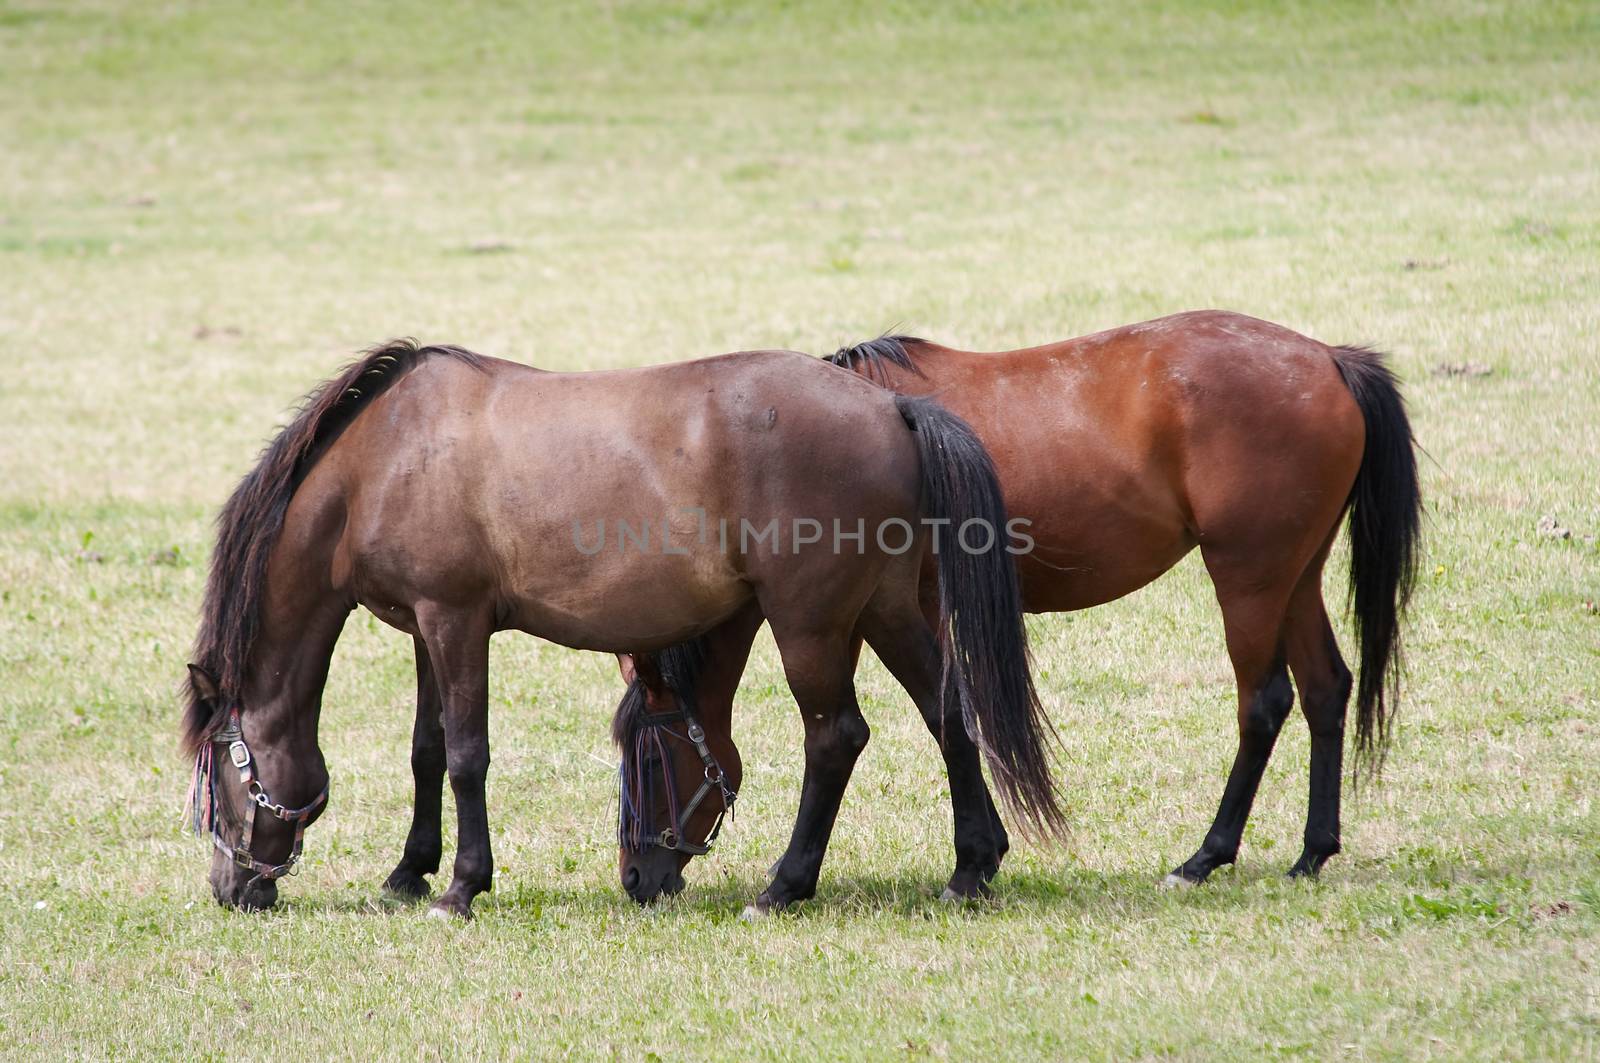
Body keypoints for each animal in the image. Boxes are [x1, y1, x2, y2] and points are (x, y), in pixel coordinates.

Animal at [181, 337, 1056, 915]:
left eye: (219, 776)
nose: (232, 889)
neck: (383, 458)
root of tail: (892, 407)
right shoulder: (426, 627)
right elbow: (427, 750)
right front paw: (409, 872)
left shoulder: (456, 620)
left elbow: (466, 755)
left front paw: (461, 884)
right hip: (885, 608)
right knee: (948, 713)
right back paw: (971, 868)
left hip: (809, 621)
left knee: (835, 735)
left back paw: (784, 883)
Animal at [604, 308, 1420, 896]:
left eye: (648, 756)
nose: (639, 877)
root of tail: (1327, 359)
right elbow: (951, 715)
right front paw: (980, 857)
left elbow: (933, 718)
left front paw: (971, 860)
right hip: (1296, 576)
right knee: (1326, 689)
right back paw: (1312, 852)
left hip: (1249, 579)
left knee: (1265, 702)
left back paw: (1205, 857)